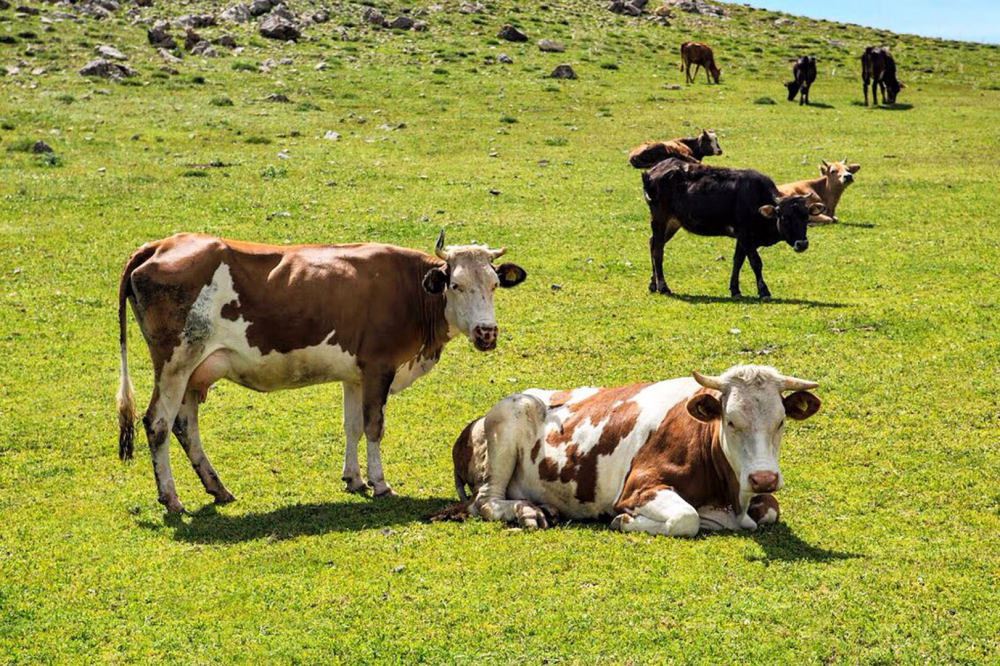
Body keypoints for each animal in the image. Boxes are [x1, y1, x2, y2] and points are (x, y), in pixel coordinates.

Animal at [115, 231, 532, 510]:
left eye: (494, 284)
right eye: (456, 285)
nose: (486, 332)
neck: (411, 290)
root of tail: (160, 245)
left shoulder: (355, 374)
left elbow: (352, 425)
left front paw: (354, 479)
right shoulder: (379, 367)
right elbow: (373, 427)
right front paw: (380, 484)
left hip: (194, 370)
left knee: (185, 425)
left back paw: (218, 488)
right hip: (175, 363)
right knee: (158, 422)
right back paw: (171, 499)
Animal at [454, 364, 820, 536]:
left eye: (781, 422)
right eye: (730, 421)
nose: (763, 478)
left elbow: (771, 509)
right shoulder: (639, 487)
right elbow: (686, 518)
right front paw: (625, 521)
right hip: (513, 416)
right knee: (486, 502)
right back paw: (526, 512)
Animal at [640, 158, 828, 298]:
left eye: (805, 216)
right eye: (785, 217)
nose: (802, 244)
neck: (756, 201)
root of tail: (653, 172)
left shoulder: (742, 238)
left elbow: (737, 261)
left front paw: (735, 289)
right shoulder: (746, 236)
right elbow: (756, 262)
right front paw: (763, 290)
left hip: (673, 223)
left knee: (652, 243)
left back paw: (652, 283)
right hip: (659, 219)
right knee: (658, 251)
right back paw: (663, 287)